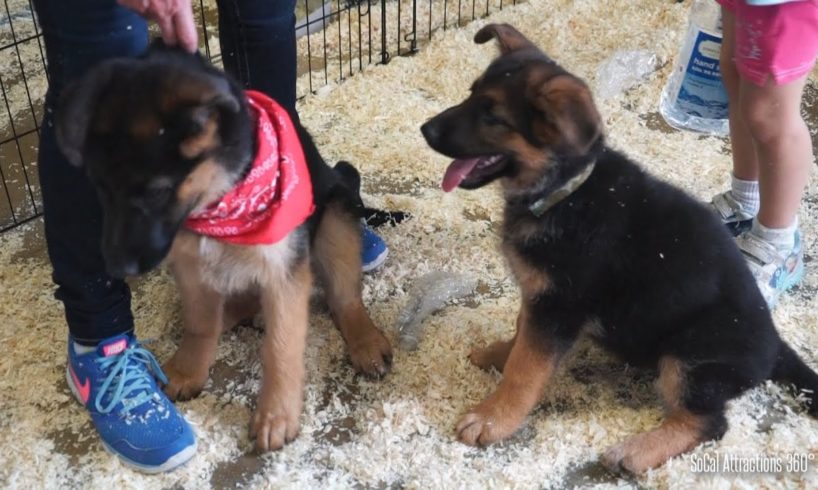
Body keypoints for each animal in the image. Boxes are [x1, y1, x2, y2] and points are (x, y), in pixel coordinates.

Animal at [55, 44, 392, 454]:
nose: (116, 269)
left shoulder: (284, 271)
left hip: (336, 220)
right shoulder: (189, 263)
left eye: (156, 191)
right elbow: (200, 324)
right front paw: (188, 370)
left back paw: (366, 342)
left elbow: (281, 347)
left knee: (344, 298)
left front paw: (276, 417)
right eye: (100, 187)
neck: (219, 200)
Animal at [420, 23, 816, 474]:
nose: (425, 130)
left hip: (688, 358)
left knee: (709, 422)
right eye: (471, 95)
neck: (566, 191)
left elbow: (526, 368)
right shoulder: (538, 299)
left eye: (492, 117)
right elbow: (521, 335)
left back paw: (636, 451)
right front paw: (500, 354)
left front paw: (493, 418)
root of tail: (775, 347)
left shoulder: (558, 308)